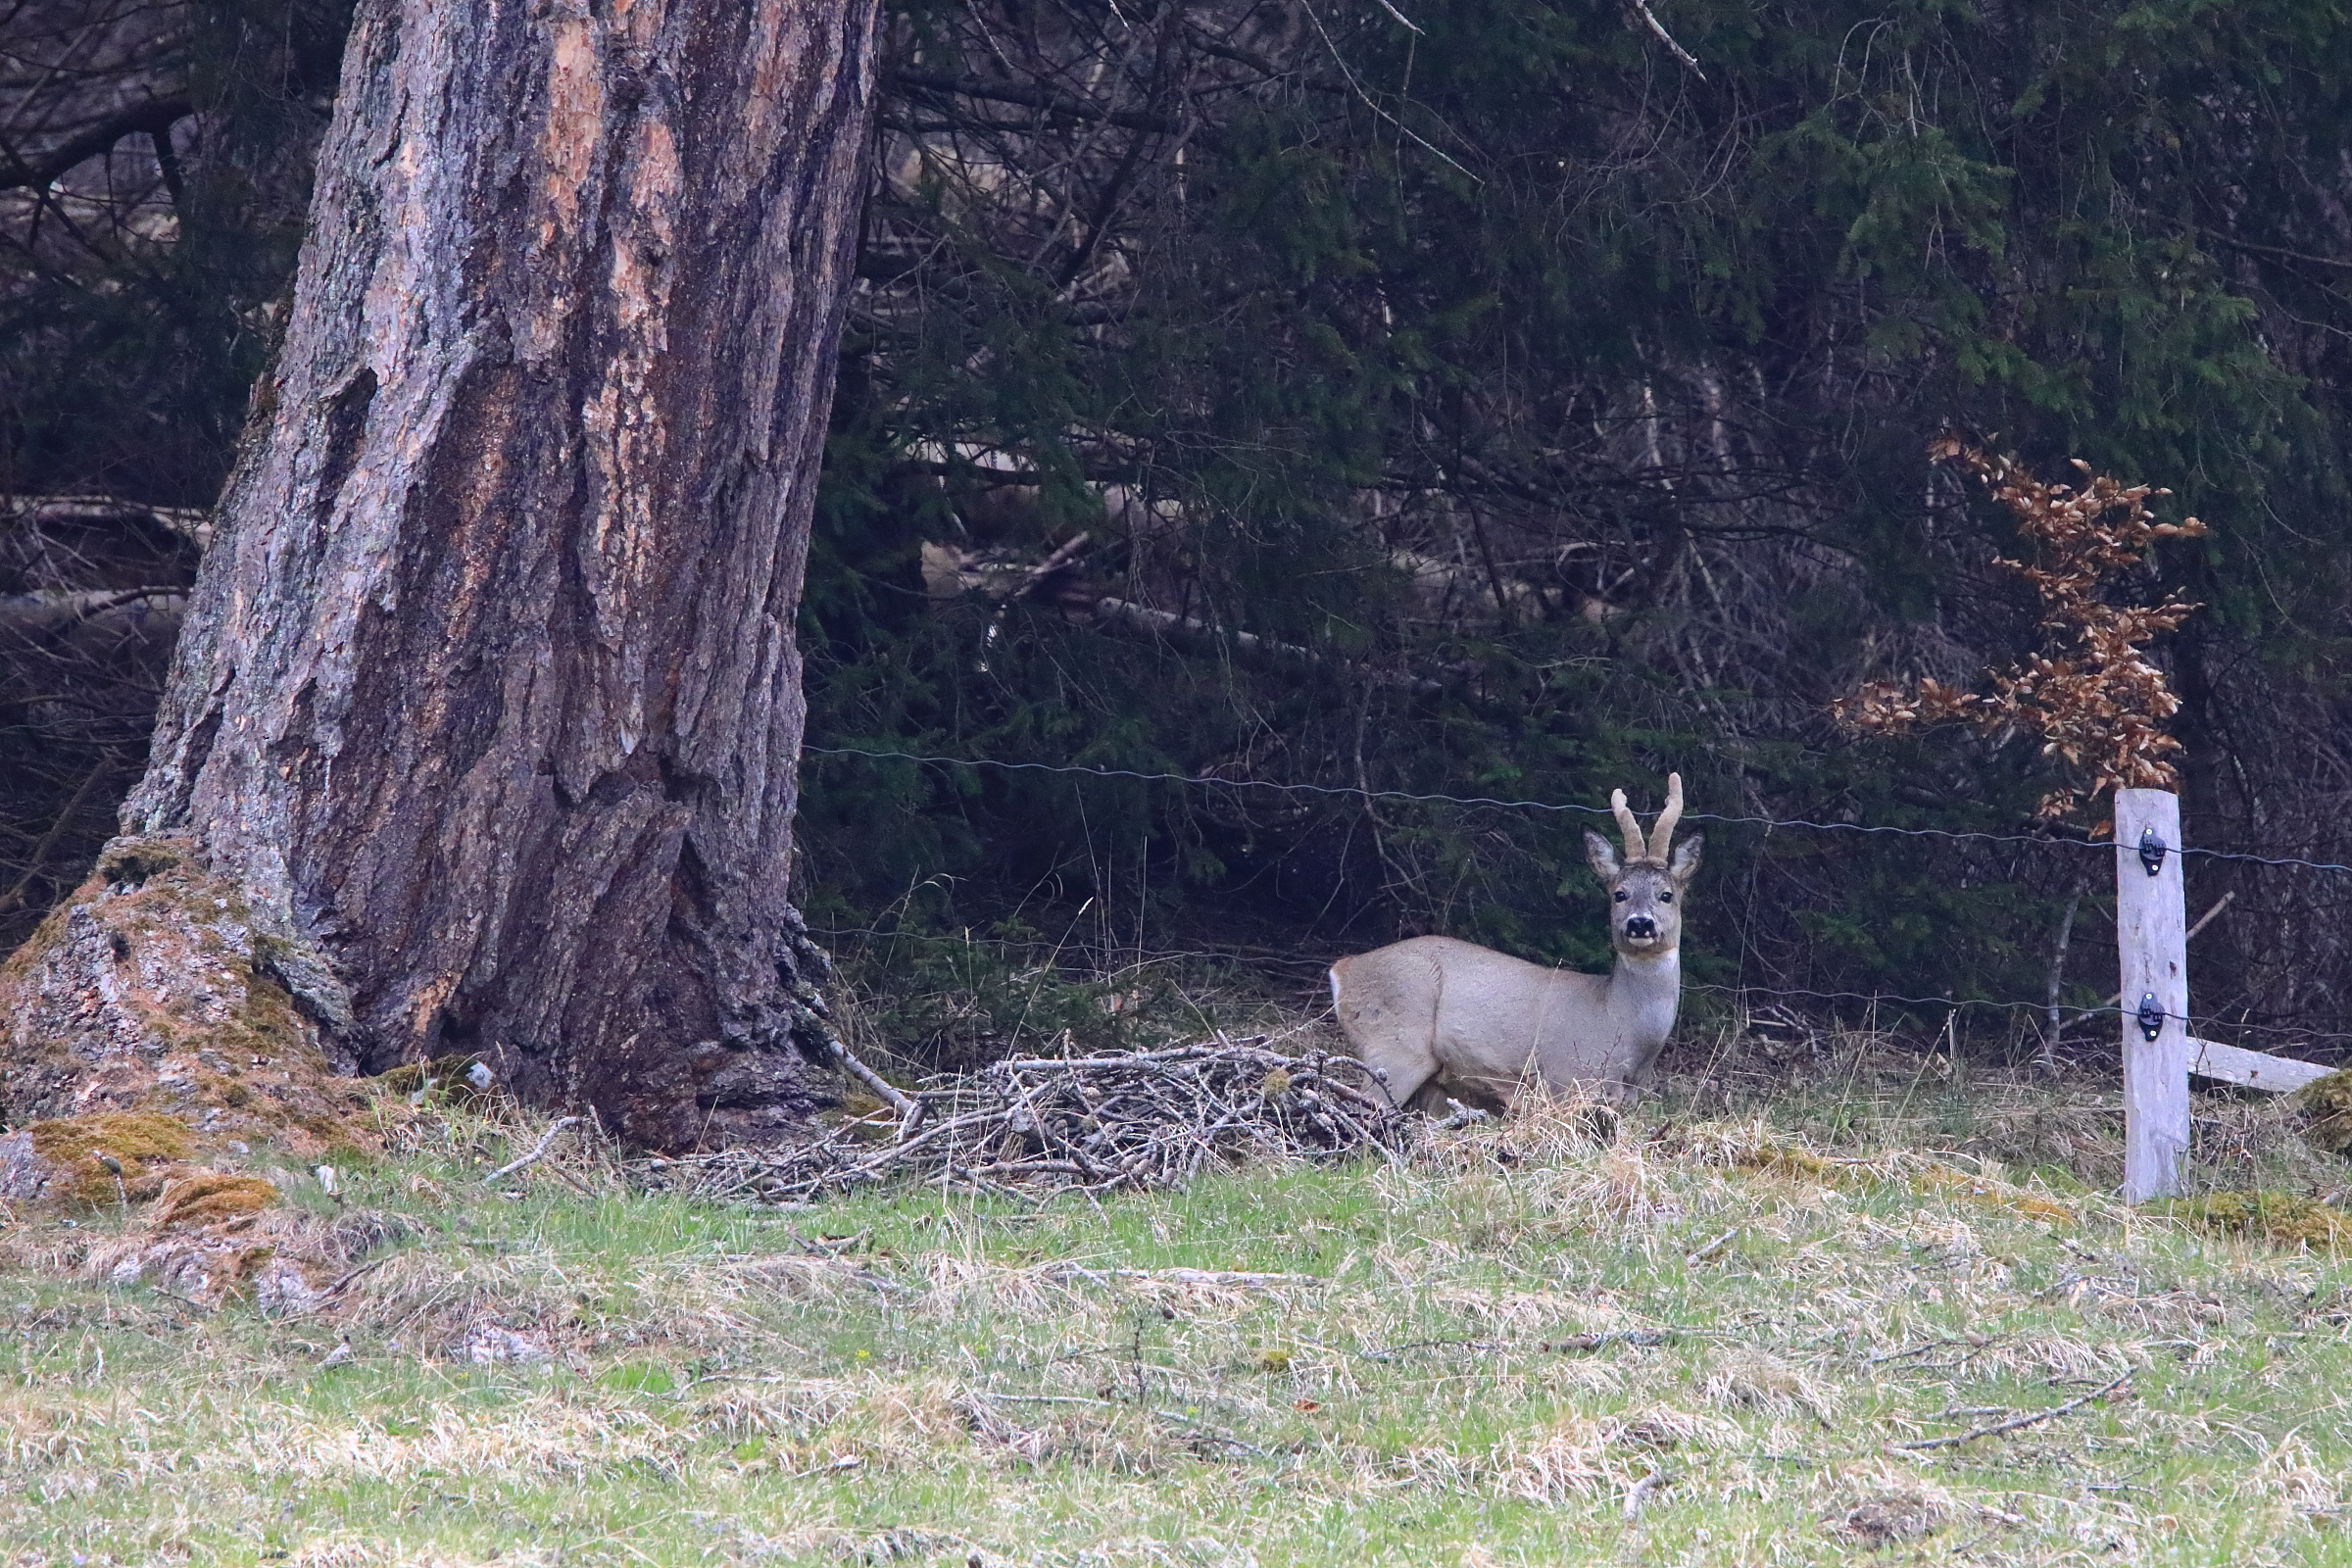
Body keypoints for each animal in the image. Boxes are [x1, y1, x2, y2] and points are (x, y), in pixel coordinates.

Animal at [1336, 770, 1702, 1104]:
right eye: (1619, 894)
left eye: (1666, 895)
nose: (1640, 924)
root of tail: (1342, 969)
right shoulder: (1564, 1082)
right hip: (1395, 1044)